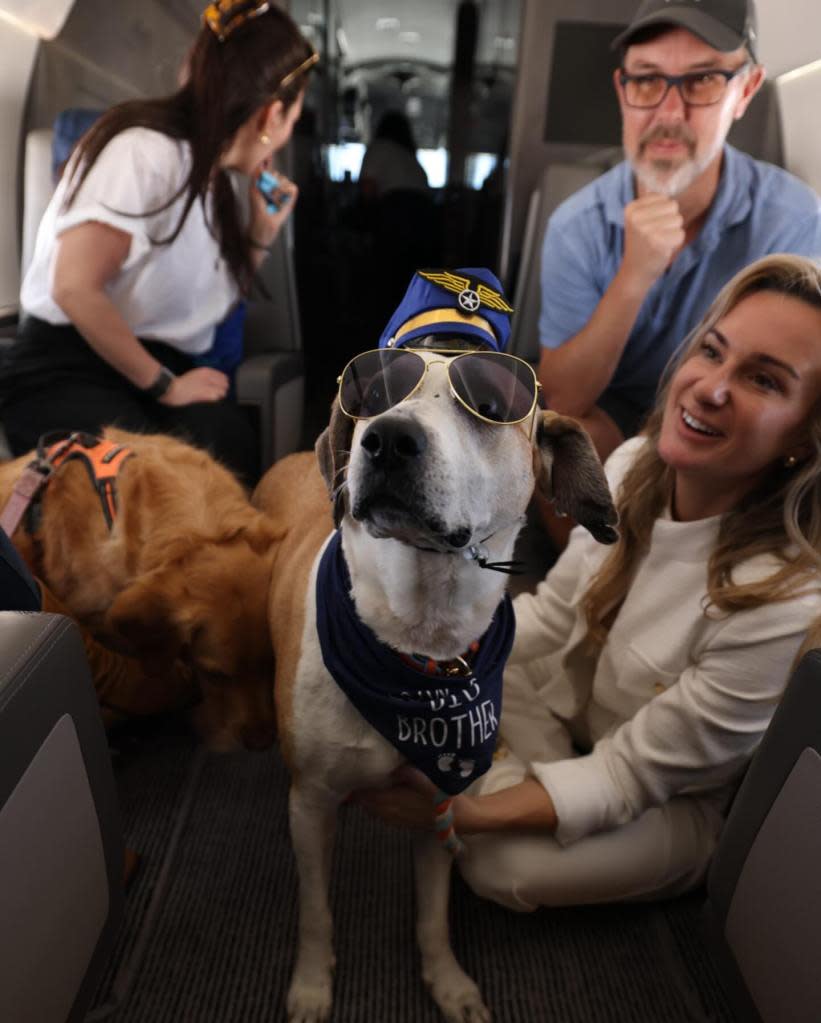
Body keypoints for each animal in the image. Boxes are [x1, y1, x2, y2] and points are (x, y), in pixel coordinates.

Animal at [255, 268, 617, 1018]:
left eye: (488, 405)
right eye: (375, 392)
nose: (387, 438)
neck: (418, 636)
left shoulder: (439, 807)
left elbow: (431, 912)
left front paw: (447, 981)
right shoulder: (310, 804)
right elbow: (315, 910)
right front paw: (311, 984)